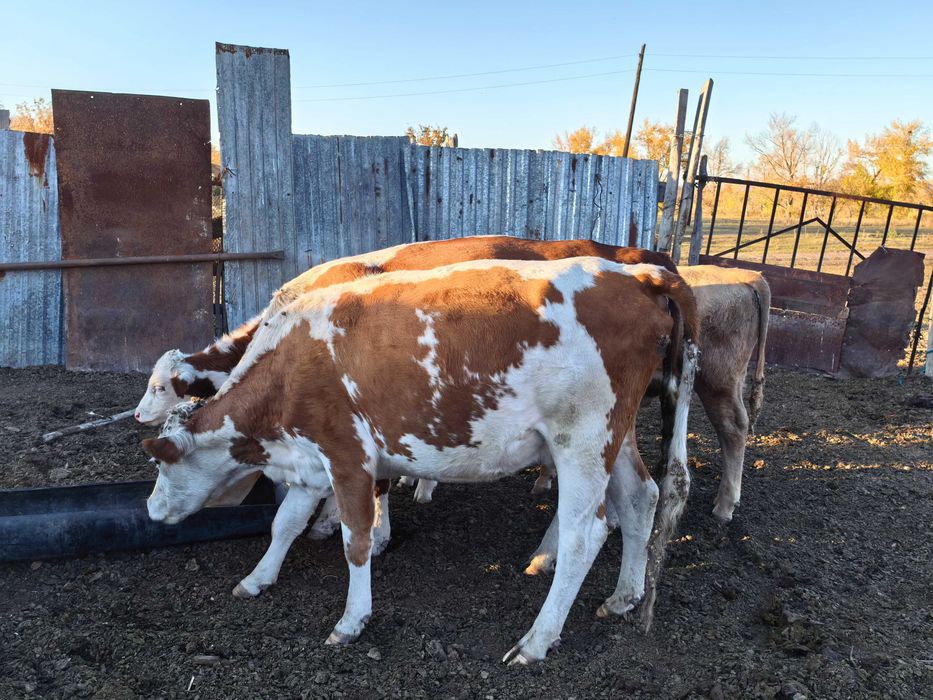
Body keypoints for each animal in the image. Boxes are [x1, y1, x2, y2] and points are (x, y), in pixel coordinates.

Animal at [142, 257, 699, 663]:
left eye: (163, 464)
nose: (150, 510)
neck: (290, 362)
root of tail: (638, 273)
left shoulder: (347, 456)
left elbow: (356, 543)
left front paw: (351, 621)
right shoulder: (308, 461)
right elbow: (284, 524)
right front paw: (257, 579)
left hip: (580, 438)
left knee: (586, 534)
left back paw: (537, 638)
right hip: (614, 436)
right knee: (640, 498)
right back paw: (623, 597)